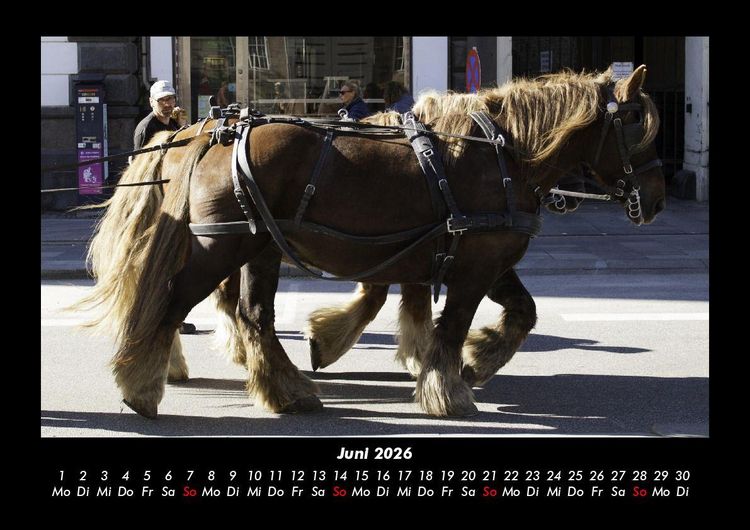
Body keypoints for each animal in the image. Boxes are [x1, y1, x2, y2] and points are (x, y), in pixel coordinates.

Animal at [74, 65, 664, 419]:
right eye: (637, 123)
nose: (657, 198)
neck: (501, 150)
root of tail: (208, 133)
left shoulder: (477, 257)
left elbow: (520, 313)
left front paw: (474, 361)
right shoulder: (473, 265)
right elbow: (451, 324)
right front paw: (448, 389)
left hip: (257, 248)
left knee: (251, 314)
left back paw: (284, 388)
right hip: (223, 247)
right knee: (173, 302)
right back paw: (141, 383)